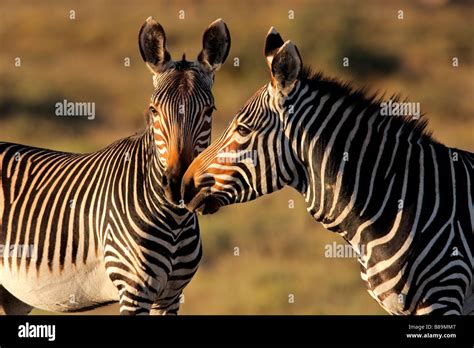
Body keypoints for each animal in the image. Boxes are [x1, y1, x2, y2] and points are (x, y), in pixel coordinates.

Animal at [0, 17, 230, 316]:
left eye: (210, 111)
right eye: (153, 110)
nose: (178, 185)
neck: (175, 221)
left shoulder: (171, 296)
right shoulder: (134, 291)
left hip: (11, 296)